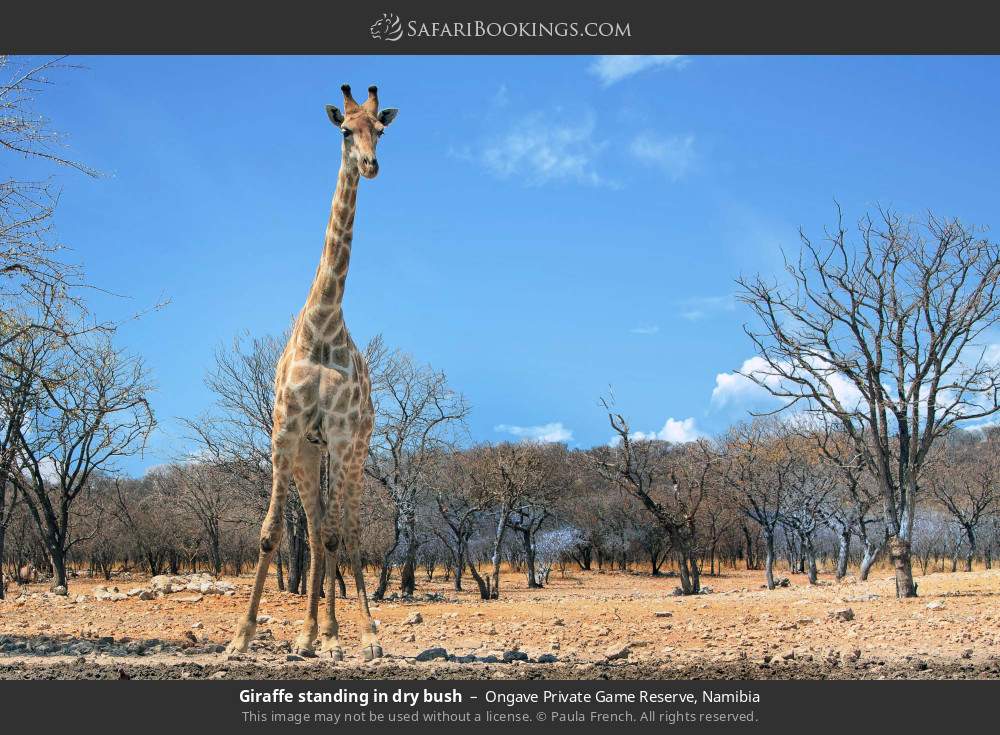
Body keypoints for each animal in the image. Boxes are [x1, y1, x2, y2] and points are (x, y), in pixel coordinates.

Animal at [227, 82, 398, 660]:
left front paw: (351, 637)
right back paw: (309, 635)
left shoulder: (342, 435)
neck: (324, 321)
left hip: (355, 452)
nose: (370, 164)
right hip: (308, 453)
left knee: (344, 530)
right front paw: (240, 636)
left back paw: (352, 635)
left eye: (381, 129)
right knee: (319, 530)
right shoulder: (285, 430)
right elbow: (271, 534)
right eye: (345, 130)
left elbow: (339, 536)